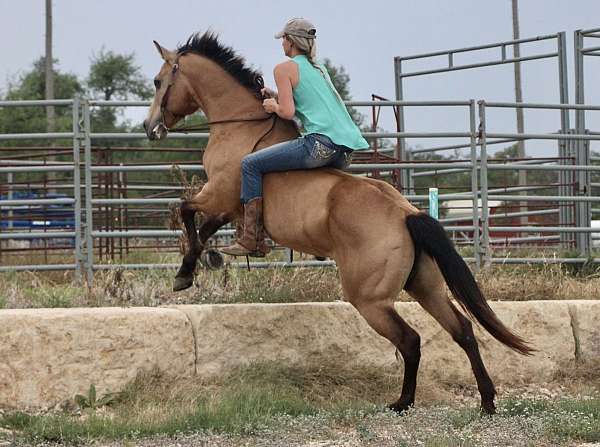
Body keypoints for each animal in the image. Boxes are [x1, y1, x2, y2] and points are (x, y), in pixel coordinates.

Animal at [145, 32, 536, 416]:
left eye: (158, 81)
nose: (150, 128)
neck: (241, 127)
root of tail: (407, 214)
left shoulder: (218, 195)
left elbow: (186, 211)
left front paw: (189, 271)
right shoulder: (228, 208)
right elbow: (204, 227)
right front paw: (202, 263)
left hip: (370, 299)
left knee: (410, 340)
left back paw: (403, 402)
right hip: (425, 287)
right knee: (463, 330)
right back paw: (486, 401)